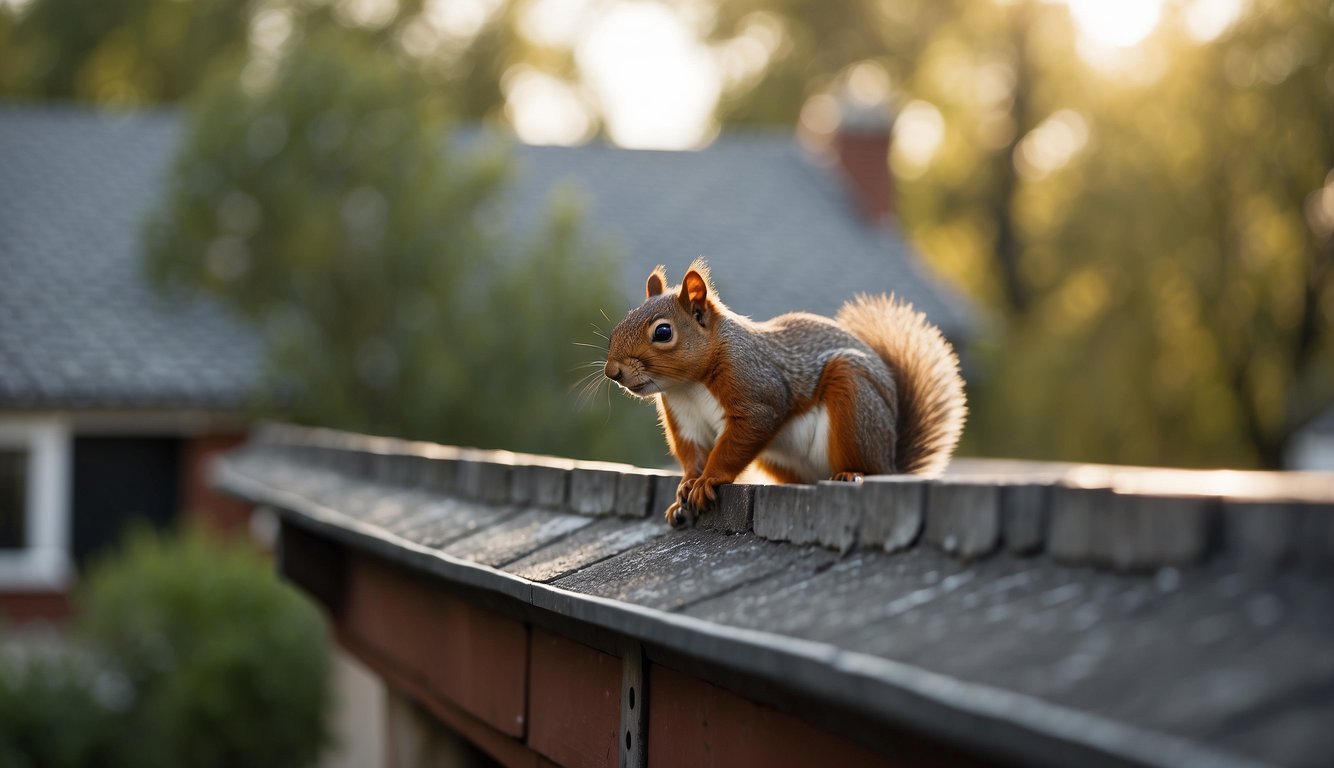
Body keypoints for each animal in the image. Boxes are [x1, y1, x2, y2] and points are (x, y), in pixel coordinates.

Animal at [604, 259, 968, 528]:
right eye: (617, 327)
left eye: (663, 332)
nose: (612, 372)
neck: (688, 386)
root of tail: (891, 459)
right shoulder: (685, 420)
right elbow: (692, 454)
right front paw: (685, 488)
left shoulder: (757, 391)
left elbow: (733, 445)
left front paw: (708, 481)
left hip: (855, 404)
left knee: (869, 466)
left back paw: (853, 474)